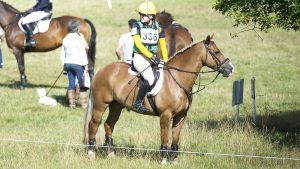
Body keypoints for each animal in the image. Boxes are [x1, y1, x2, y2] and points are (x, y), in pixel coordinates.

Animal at [83, 35, 233, 163]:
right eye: (217, 52)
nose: (230, 68)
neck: (177, 80)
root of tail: (102, 70)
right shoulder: (165, 115)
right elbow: (165, 137)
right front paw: (164, 160)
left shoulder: (181, 116)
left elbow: (175, 138)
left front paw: (174, 160)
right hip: (100, 105)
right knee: (93, 124)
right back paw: (91, 153)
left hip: (116, 106)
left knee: (109, 125)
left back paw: (111, 153)